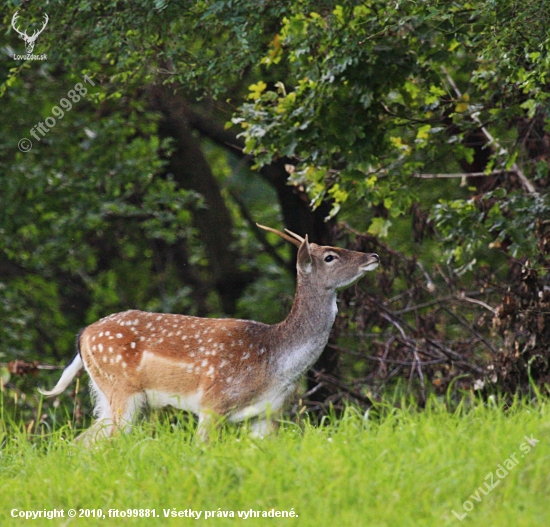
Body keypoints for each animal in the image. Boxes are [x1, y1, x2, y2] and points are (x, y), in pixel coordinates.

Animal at [41, 225, 380, 444]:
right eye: (330, 256)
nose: (373, 256)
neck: (275, 363)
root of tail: (83, 335)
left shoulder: (268, 414)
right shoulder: (213, 402)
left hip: (109, 395)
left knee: (84, 442)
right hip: (121, 389)